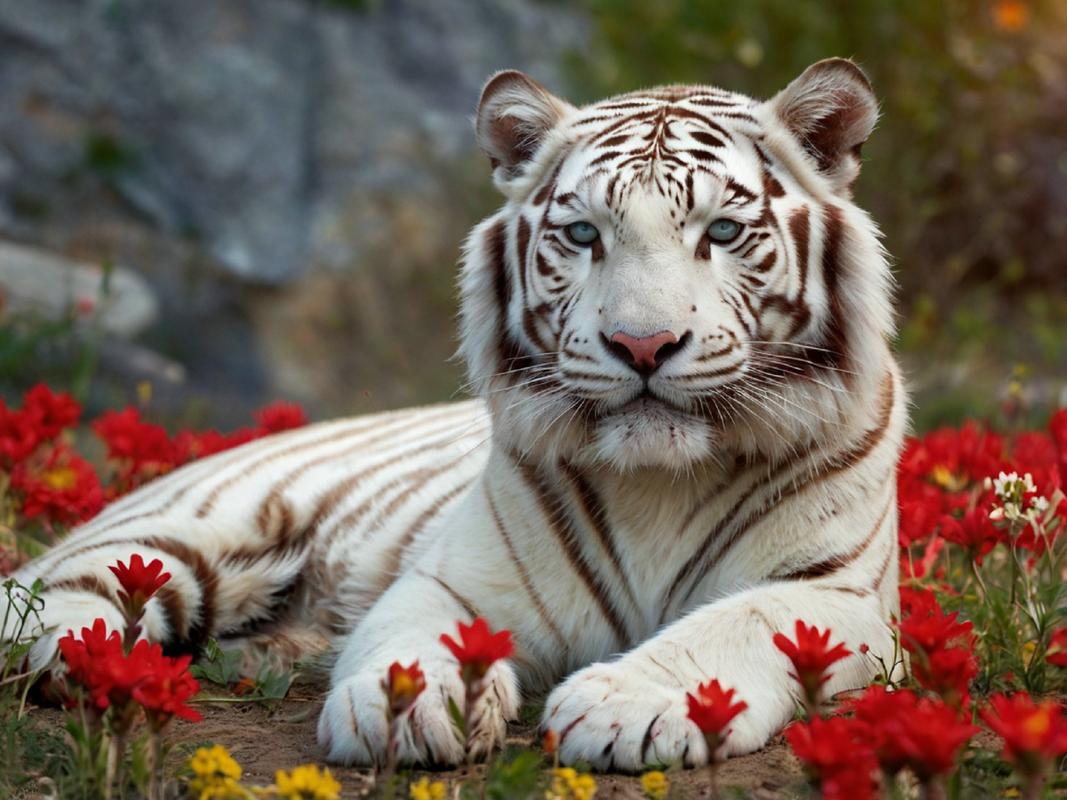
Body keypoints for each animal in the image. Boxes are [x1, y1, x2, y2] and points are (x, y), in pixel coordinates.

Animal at [8, 58, 905, 771]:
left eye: (720, 231)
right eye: (583, 235)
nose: (641, 344)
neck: (660, 479)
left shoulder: (832, 591)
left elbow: (734, 624)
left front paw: (626, 706)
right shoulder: (456, 576)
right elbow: (413, 636)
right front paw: (403, 705)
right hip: (181, 531)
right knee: (50, 594)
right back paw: (101, 664)